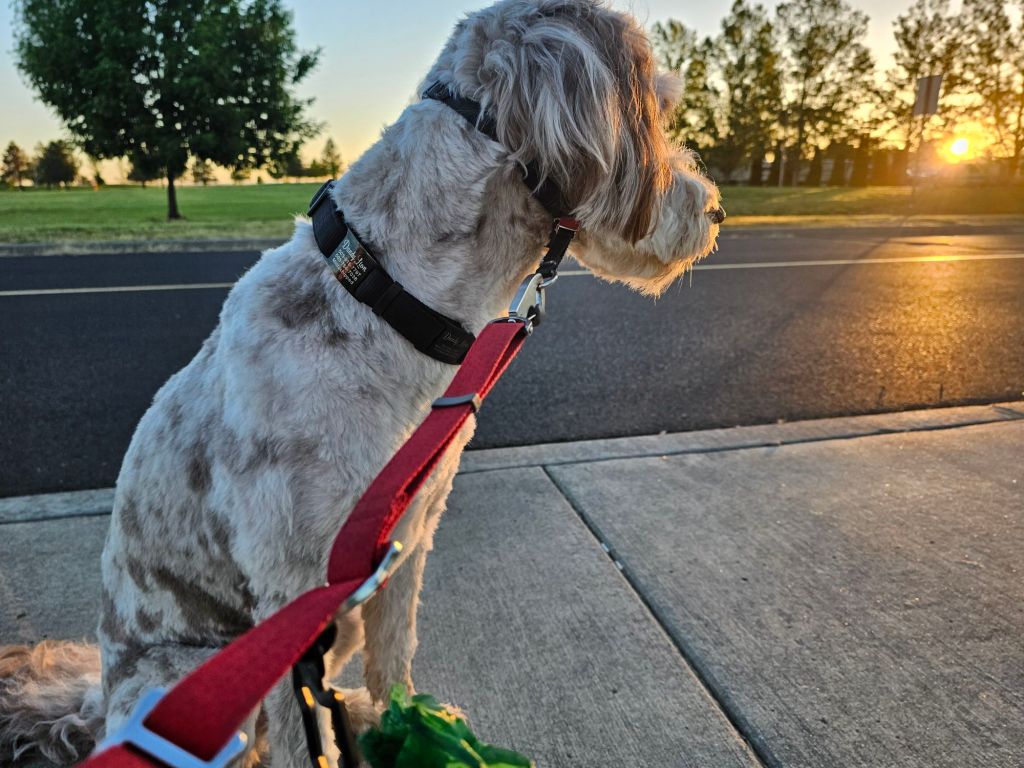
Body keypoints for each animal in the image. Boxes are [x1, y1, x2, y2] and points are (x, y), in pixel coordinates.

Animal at [0, 1, 721, 765]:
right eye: (659, 111)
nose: (715, 212)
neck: (388, 299)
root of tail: (100, 704)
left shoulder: (404, 542)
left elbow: (395, 654)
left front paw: (408, 724)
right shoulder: (288, 590)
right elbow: (298, 735)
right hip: (194, 679)